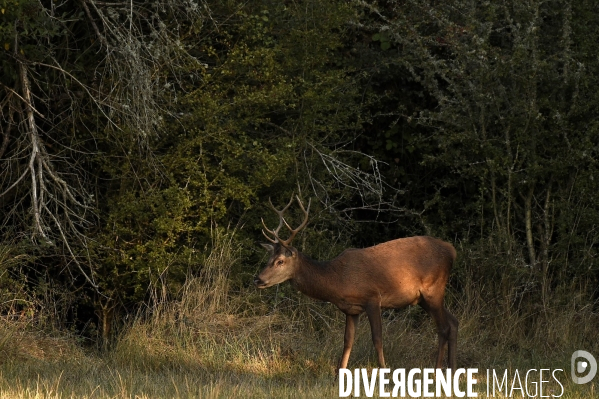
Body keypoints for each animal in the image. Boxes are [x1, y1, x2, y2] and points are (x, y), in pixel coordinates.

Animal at [254, 195, 460, 374]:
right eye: (269, 257)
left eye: (280, 261)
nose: (258, 279)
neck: (337, 280)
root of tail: (452, 250)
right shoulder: (351, 309)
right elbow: (347, 341)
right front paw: (338, 376)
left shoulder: (373, 298)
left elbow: (377, 338)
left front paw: (385, 373)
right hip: (423, 298)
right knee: (453, 322)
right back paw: (452, 370)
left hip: (433, 288)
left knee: (443, 327)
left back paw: (437, 372)